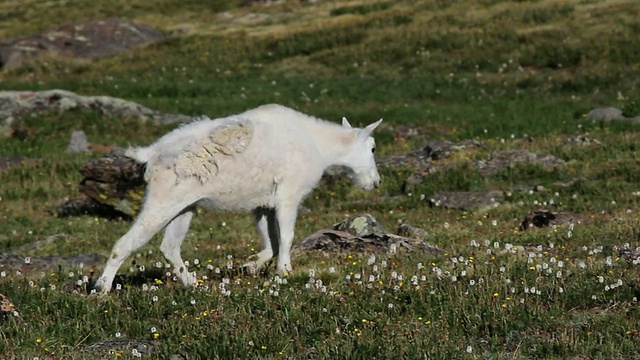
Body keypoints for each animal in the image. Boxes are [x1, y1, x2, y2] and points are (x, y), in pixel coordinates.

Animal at [95, 103, 382, 292]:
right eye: (372, 148)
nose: (376, 182)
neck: (319, 145)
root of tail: (150, 155)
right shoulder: (289, 194)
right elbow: (287, 237)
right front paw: (284, 271)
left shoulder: (263, 204)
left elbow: (271, 241)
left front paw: (251, 266)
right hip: (163, 199)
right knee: (125, 243)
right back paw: (102, 288)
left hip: (184, 207)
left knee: (169, 247)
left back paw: (193, 283)